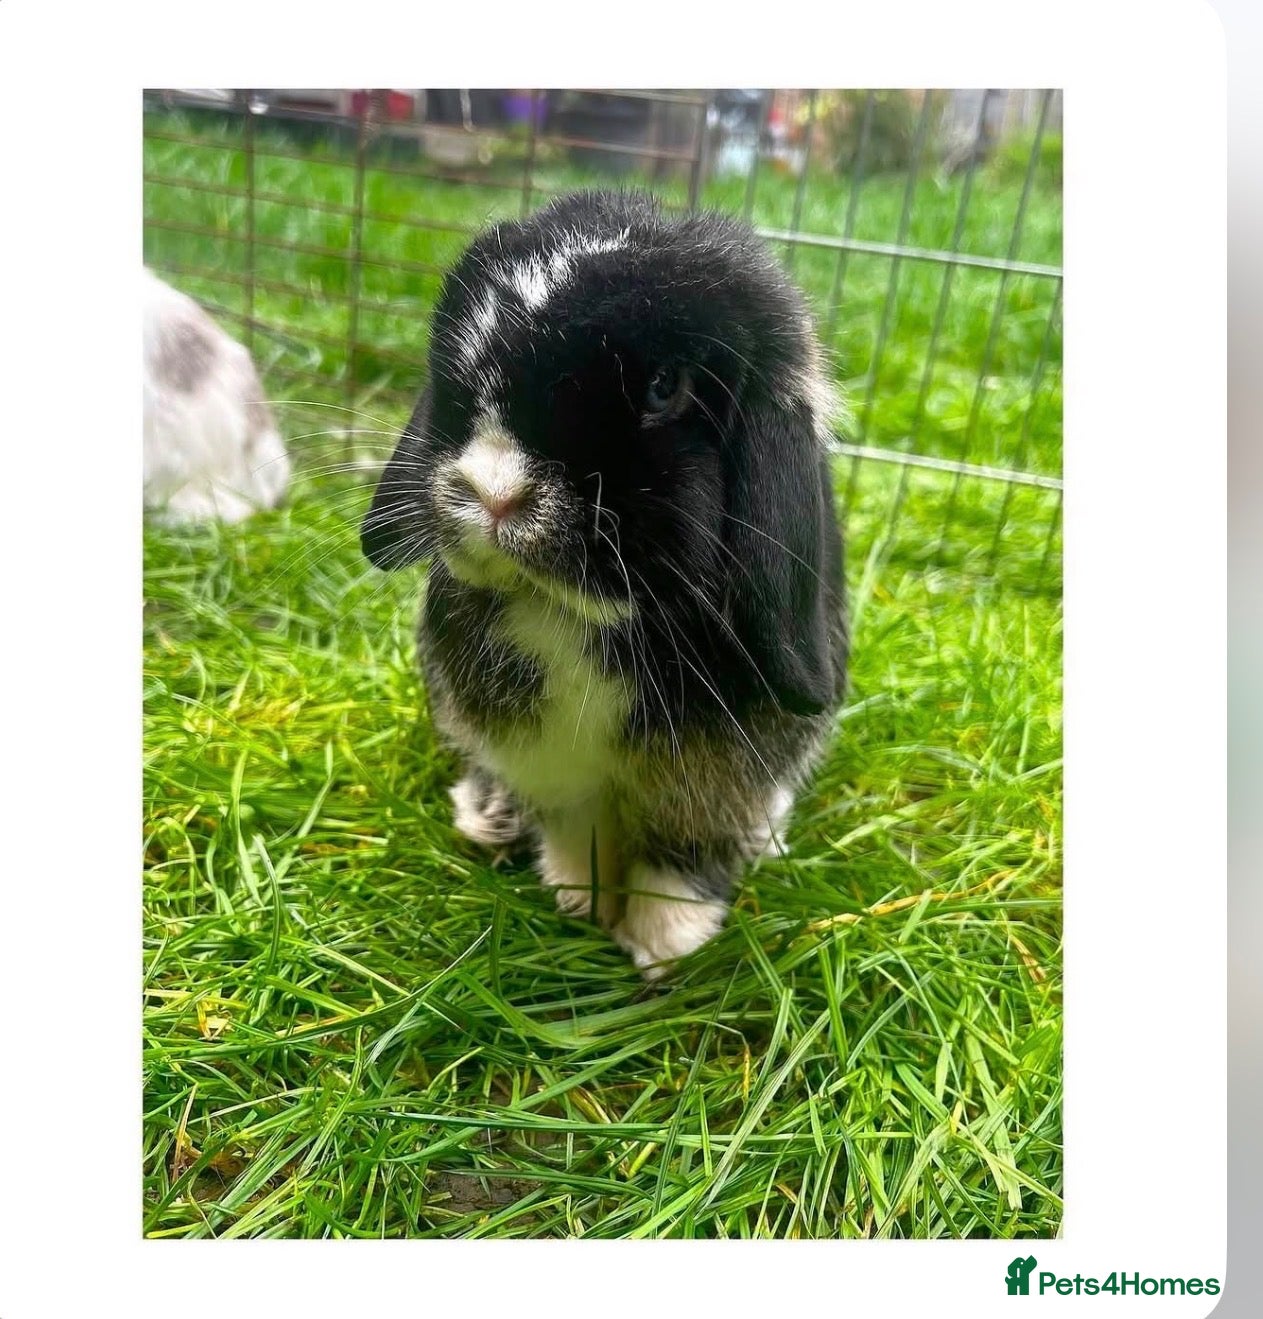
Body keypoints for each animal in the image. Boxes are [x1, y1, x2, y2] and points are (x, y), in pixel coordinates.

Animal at [362, 190, 847, 979]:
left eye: (664, 386)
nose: (492, 491)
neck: (578, 619)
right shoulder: (551, 767)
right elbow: (575, 827)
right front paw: (578, 899)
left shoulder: (711, 778)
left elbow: (681, 857)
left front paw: (662, 946)